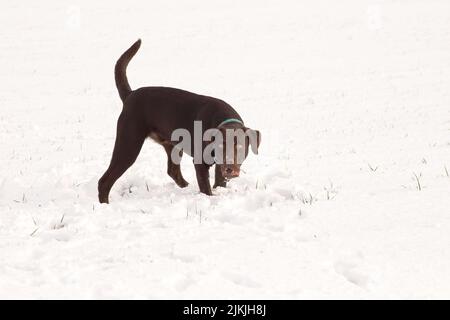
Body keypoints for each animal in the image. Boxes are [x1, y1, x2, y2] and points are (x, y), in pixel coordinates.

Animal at [98, 40, 260, 202]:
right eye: (221, 146)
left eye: (240, 146)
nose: (229, 169)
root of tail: (130, 95)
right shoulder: (200, 163)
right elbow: (206, 188)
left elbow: (219, 182)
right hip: (129, 144)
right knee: (104, 181)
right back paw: (105, 204)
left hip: (172, 145)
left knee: (173, 171)